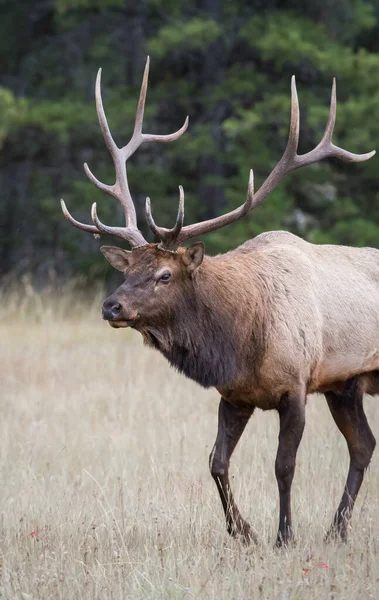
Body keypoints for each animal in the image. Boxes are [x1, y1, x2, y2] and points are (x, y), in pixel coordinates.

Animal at [60, 58, 378, 548]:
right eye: (127, 271)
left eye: (164, 274)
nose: (110, 306)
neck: (242, 340)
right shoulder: (236, 395)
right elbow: (216, 462)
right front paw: (243, 531)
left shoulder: (296, 386)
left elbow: (283, 467)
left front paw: (284, 536)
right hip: (347, 384)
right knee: (364, 445)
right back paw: (336, 531)